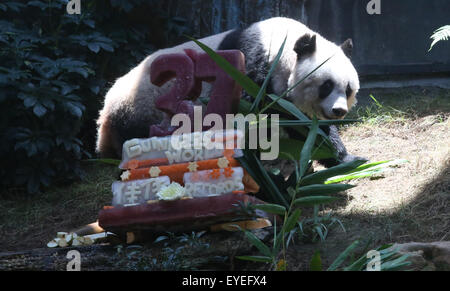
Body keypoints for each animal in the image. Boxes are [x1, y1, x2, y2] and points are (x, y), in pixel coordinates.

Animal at [97, 17, 362, 168]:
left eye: (348, 89)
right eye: (326, 85)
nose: (339, 111)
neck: (282, 46)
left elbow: (308, 127)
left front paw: (347, 158)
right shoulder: (252, 68)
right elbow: (252, 116)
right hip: (141, 107)